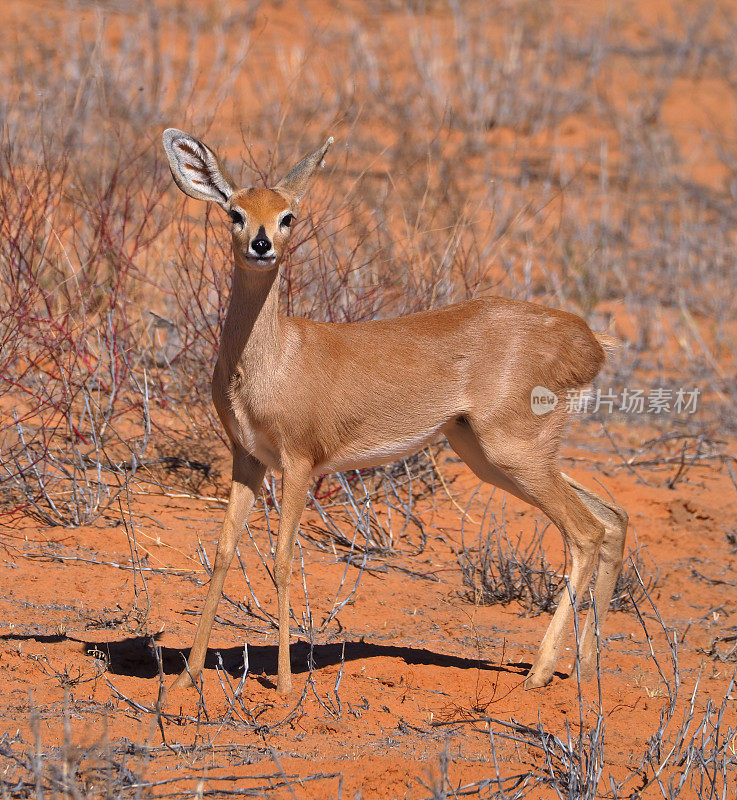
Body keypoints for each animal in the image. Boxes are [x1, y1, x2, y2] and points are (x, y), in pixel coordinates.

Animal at [161, 126, 628, 692]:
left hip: (514, 452)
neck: (273, 359)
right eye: (235, 211)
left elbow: (283, 556)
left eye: (288, 214)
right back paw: (584, 671)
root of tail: (588, 339)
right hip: (489, 454)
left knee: (586, 531)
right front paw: (186, 678)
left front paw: (288, 686)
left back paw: (538, 675)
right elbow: (225, 552)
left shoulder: (299, 463)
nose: (262, 244)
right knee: (613, 517)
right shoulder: (247, 458)